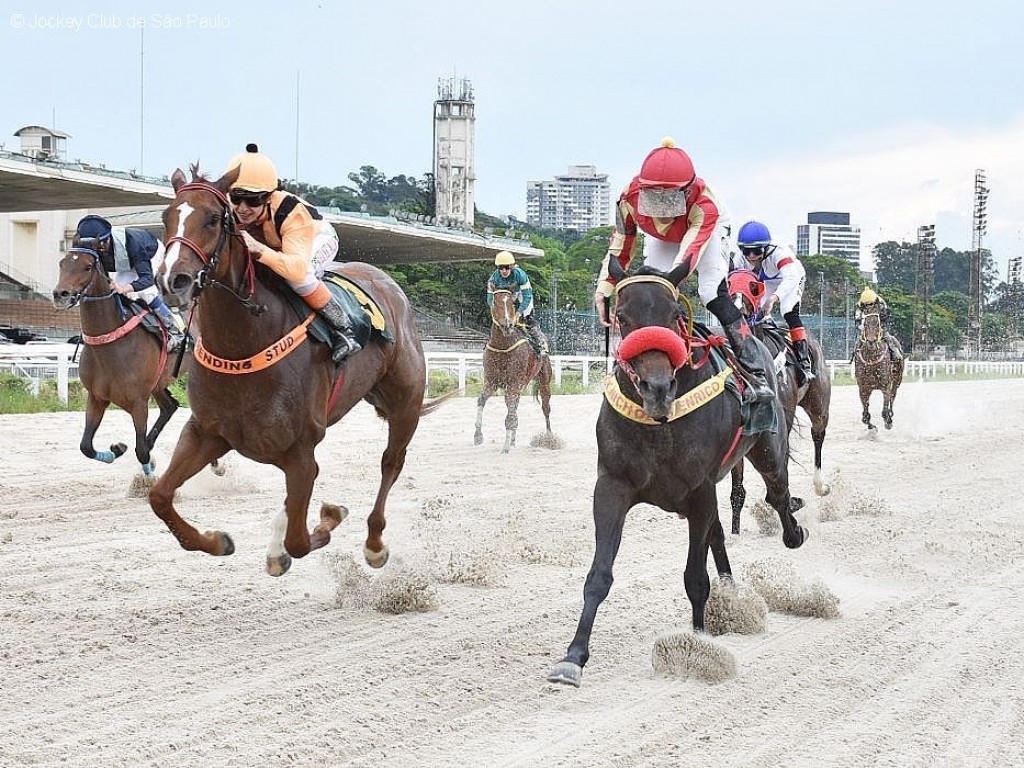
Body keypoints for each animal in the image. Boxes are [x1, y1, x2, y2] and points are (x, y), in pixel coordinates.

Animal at [51, 237, 185, 487]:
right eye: (62, 263)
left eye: (87, 266)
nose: (60, 294)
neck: (109, 343)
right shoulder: (96, 397)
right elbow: (86, 446)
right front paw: (117, 450)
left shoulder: (139, 402)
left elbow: (140, 451)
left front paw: (148, 483)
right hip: (159, 383)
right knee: (170, 406)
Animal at [151, 166, 452, 577]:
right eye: (167, 217)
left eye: (212, 219)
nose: (172, 280)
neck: (243, 345)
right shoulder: (207, 433)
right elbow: (160, 496)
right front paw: (217, 541)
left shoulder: (300, 451)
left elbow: (300, 539)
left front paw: (330, 516)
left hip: (405, 405)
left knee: (391, 463)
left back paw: (374, 544)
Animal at [473, 290, 552, 454]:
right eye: (495, 302)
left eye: (511, 303)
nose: (507, 325)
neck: (502, 346)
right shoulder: (492, 382)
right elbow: (481, 400)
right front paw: (478, 436)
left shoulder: (513, 384)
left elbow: (510, 413)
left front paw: (505, 447)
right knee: (515, 408)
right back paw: (514, 440)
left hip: (544, 381)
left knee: (546, 408)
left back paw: (549, 439)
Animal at [548, 264, 802, 692]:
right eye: (623, 317)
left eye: (675, 316)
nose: (657, 388)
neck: (659, 424)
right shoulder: (612, 487)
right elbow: (598, 575)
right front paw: (573, 657)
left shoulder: (699, 492)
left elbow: (695, 577)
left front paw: (697, 645)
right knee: (720, 535)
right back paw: (730, 590)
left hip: (768, 450)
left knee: (778, 496)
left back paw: (793, 532)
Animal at [720, 272, 831, 536]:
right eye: (728, 283)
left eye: (754, 287)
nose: (736, 309)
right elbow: (737, 489)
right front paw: (734, 533)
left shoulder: (783, 422)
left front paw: (792, 504)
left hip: (819, 405)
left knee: (818, 436)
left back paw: (820, 485)